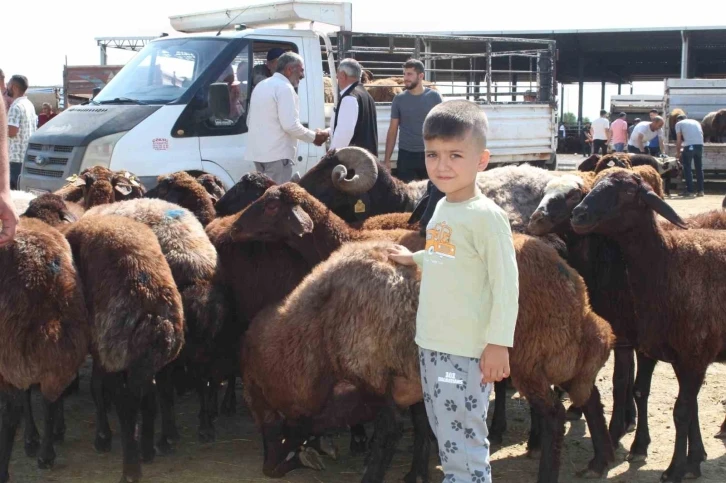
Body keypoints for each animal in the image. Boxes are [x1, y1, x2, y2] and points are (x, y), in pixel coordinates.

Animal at [0, 219, 90, 480]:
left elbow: (24, 399)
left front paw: (30, 437)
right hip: (65, 351)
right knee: (50, 398)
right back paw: (47, 452)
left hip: (9, 354)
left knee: (11, 411)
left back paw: (6, 468)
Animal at [63, 216, 185, 483]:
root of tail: (151, 310)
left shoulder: (103, 351)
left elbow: (97, 388)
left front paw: (103, 437)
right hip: (151, 360)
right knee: (151, 394)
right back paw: (147, 449)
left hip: (116, 353)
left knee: (127, 406)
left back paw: (130, 469)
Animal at [243, 238, 616, 483]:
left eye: (273, 420)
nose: (269, 468)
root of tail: (577, 295)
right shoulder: (413, 375)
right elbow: (422, 423)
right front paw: (415, 474)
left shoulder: (379, 379)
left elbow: (389, 432)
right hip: (563, 359)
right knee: (590, 396)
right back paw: (601, 461)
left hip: (530, 361)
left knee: (554, 416)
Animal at [572, 170, 726, 480]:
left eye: (630, 193)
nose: (578, 214)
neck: (668, 263)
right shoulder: (680, 357)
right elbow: (688, 408)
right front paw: (693, 461)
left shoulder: (695, 353)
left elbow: (681, 411)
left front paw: (675, 469)